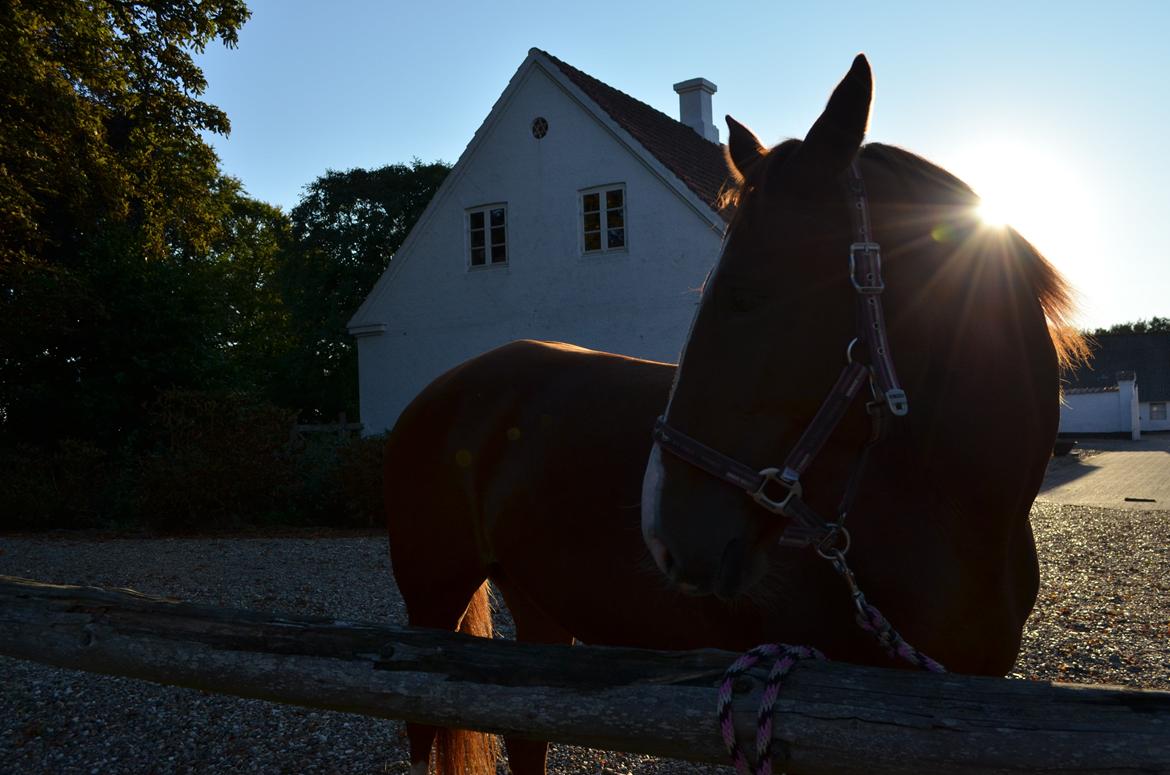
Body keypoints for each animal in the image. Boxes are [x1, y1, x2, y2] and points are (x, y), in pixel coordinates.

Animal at [388, 56, 1081, 775]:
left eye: (748, 293)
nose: (664, 533)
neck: (959, 516)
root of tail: (443, 389)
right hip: (430, 599)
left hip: (538, 606)